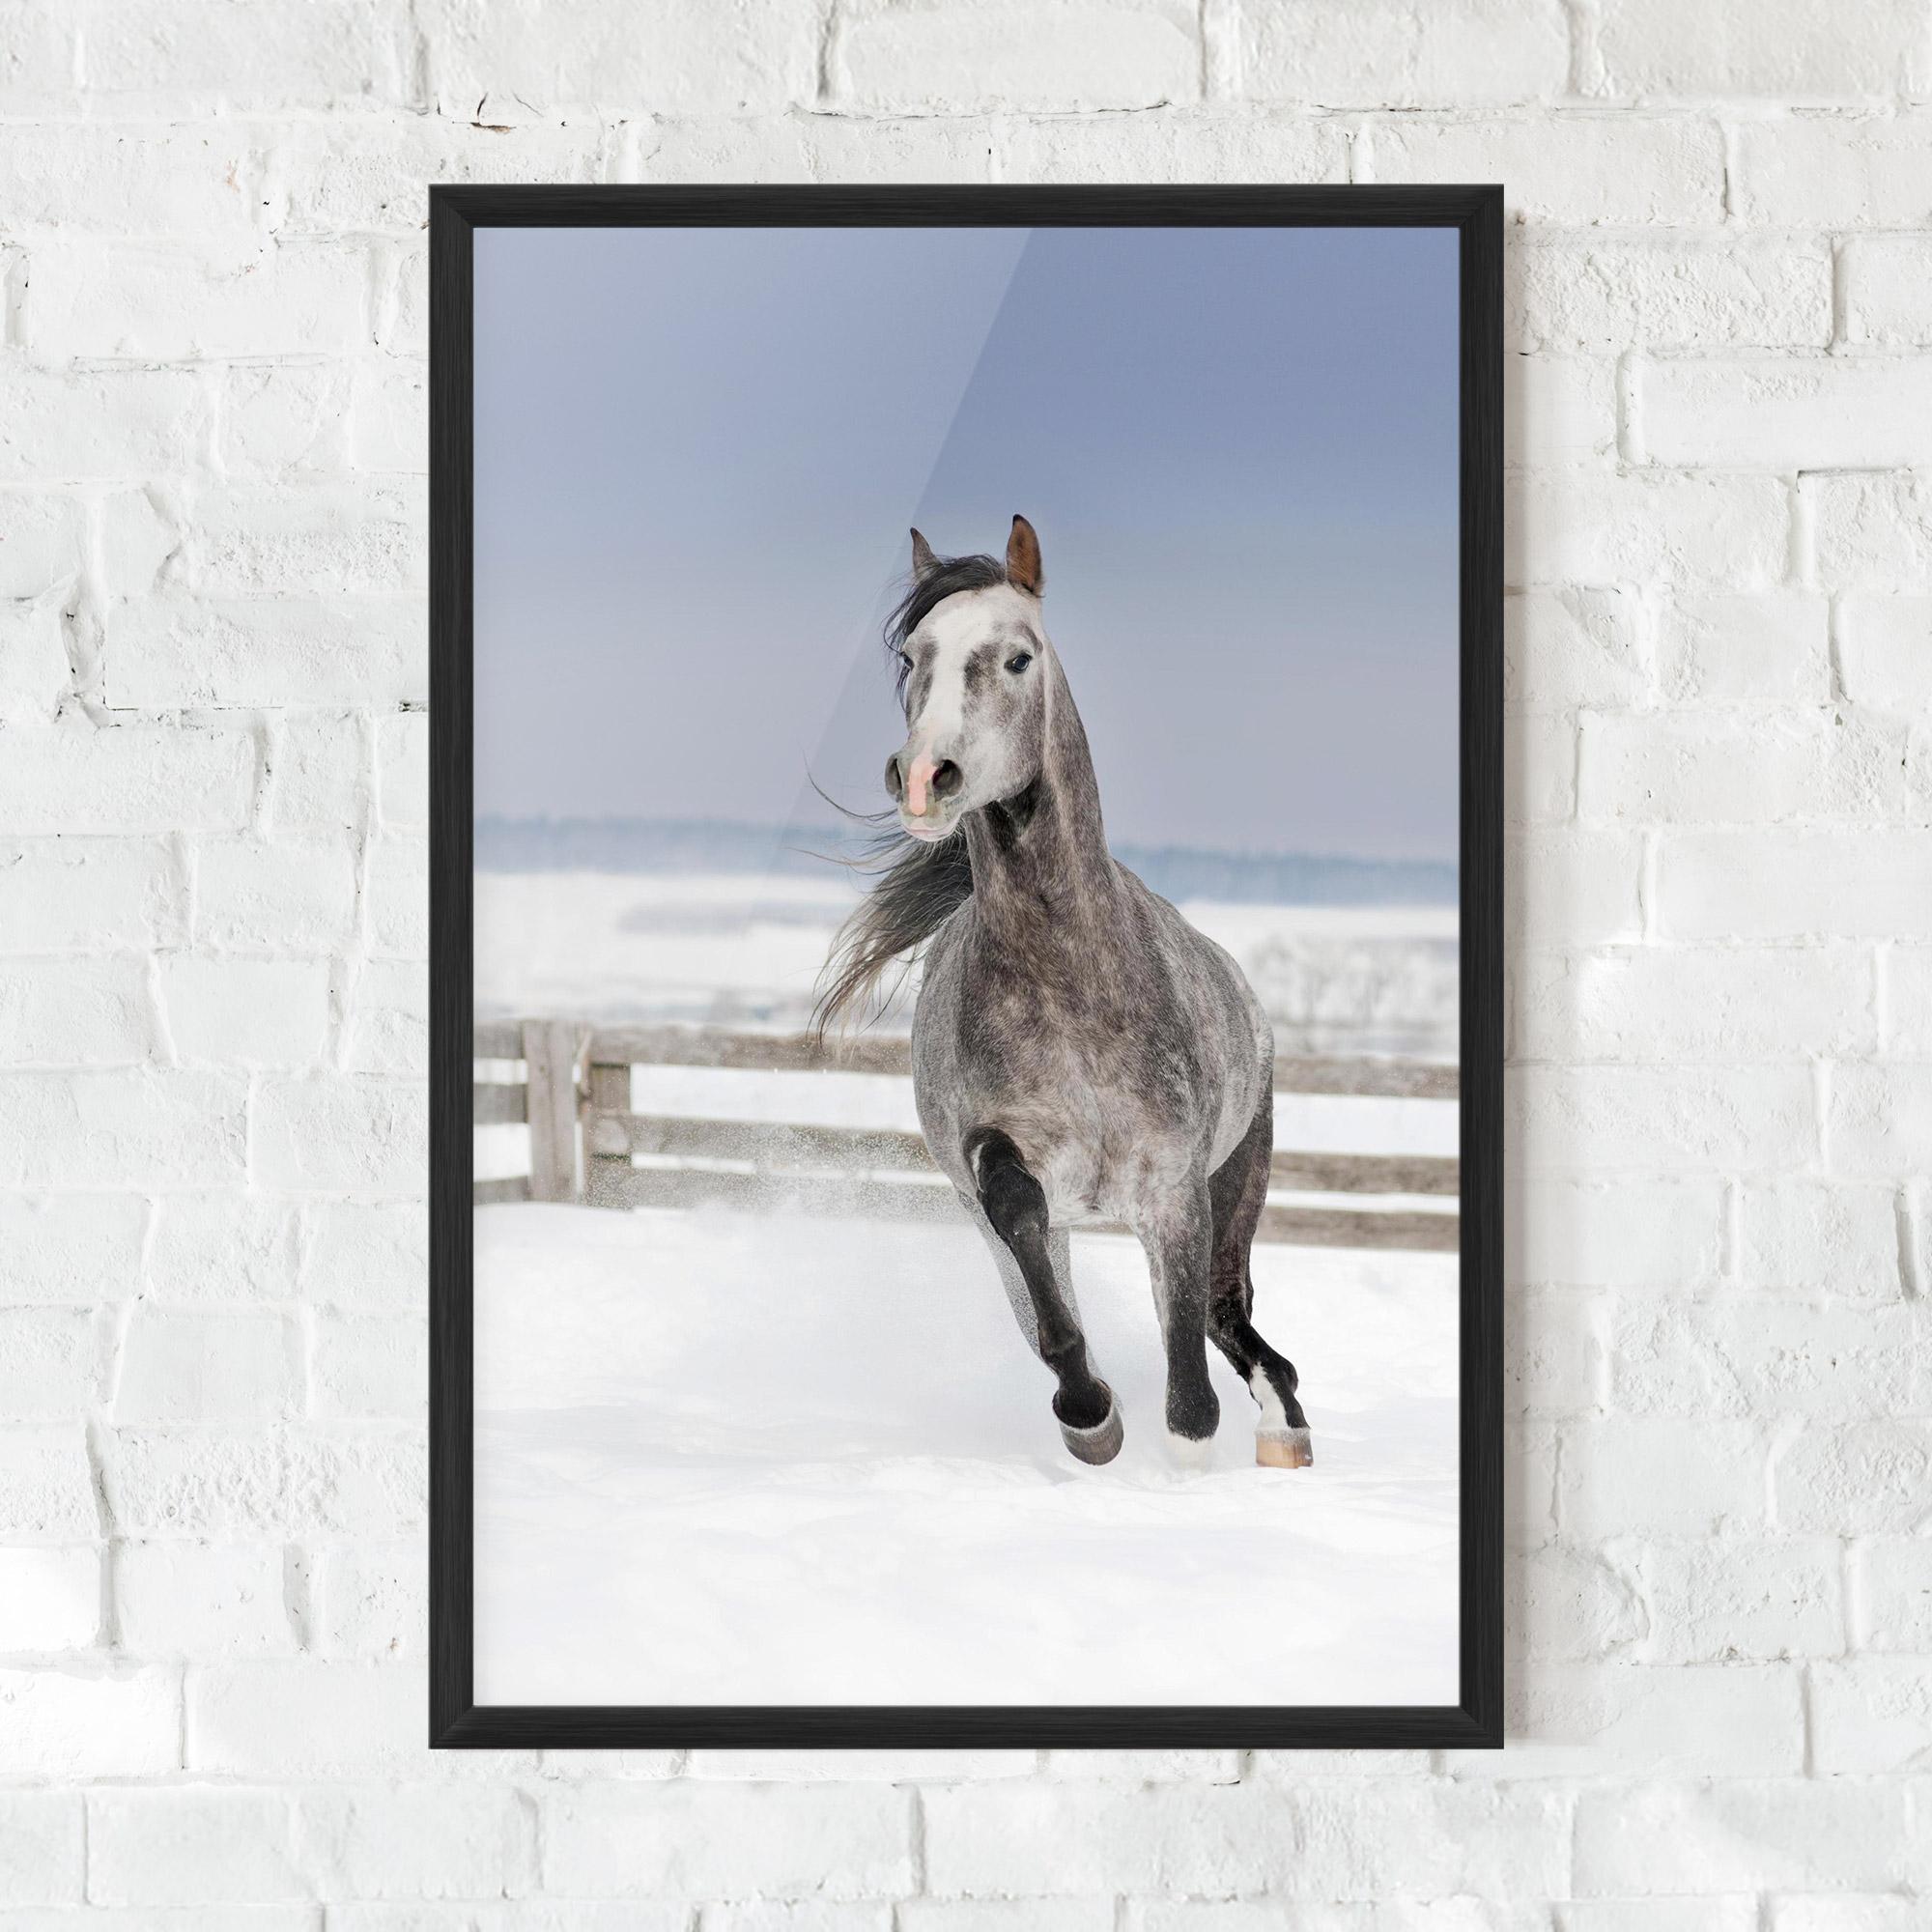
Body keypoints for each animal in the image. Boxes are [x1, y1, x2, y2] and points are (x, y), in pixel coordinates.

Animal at [816, 516, 1312, 1473]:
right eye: (913, 657)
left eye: (1018, 658)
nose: (924, 777)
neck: (1071, 986)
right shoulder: (1003, 1174)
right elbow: (1038, 1272)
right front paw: (1090, 1416)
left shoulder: (1175, 1191)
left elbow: (1189, 1382)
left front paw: (1185, 1453)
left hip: (1238, 1182)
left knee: (1229, 1316)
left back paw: (1284, 1431)